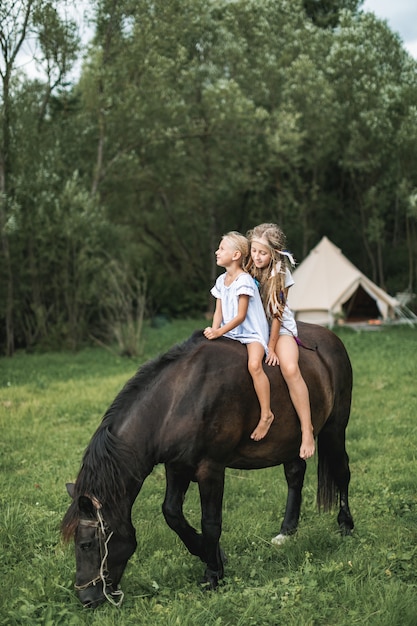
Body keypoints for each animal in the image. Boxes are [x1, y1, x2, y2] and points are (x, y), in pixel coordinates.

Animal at [61, 322, 352, 604]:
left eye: (86, 544)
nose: (86, 598)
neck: (178, 400)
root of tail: (331, 338)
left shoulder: (211, 468)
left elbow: (210, 521)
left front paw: (213, 573)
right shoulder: (176, 466)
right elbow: (172, 513)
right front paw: (212, 554)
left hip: (334, 429)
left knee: (342, 472)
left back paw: (346, 526)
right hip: (291, 440)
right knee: (295, 474)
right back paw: (287, 531)